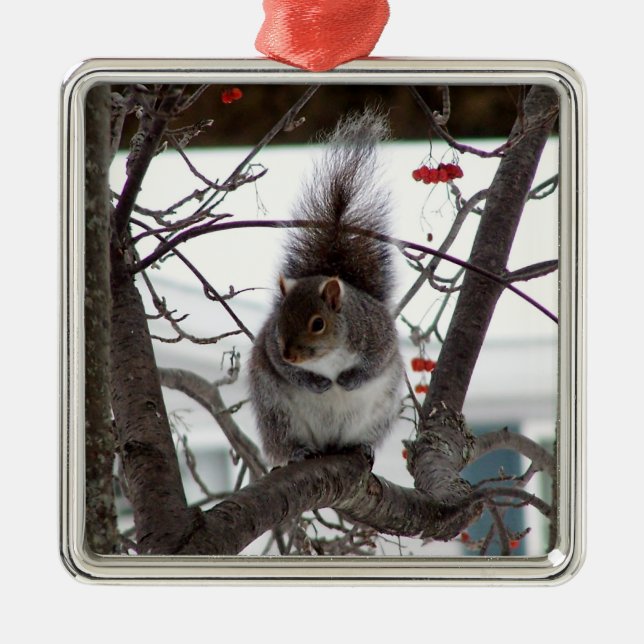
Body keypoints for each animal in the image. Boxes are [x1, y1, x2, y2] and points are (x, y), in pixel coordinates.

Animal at [249, 109, 404, 466]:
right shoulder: (271, 347)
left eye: (318, 323)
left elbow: (377, 363)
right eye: (279, 320)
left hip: (379, 413)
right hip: (278, 416)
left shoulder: (379, 335)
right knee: (287, 440)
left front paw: (348, 380)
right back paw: (298, 452)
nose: (291, 353)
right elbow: (283, 367)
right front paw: (315, 382)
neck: (329, 356)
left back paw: (360, 446)